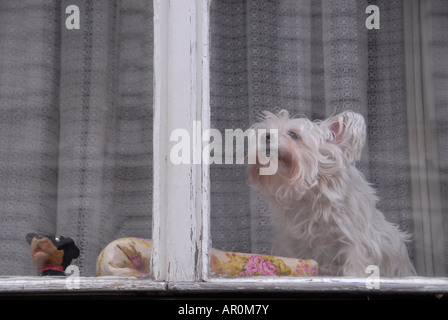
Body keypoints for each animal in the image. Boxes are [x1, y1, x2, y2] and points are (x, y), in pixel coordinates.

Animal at [248, 110, 416, 278]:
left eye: (293, 134)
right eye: (264, 132)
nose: (266, 136)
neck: (310, 195)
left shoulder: (355, 242)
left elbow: (354, 269)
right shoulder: (292, 244)